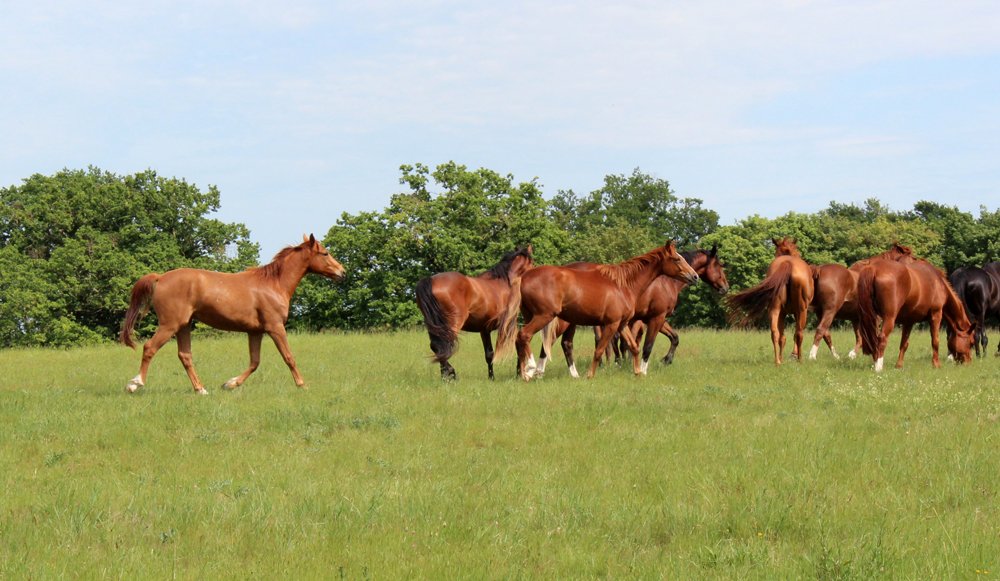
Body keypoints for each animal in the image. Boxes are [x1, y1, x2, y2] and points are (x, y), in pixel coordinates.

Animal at [120, 234, 346, 394]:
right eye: (325, 253)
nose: (342, 272)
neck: (274, 284)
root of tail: (160, 278)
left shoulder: (255, 332)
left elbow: (254, 362)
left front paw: (230, 383)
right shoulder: (275, 328)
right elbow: (289, 357)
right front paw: (302, 384)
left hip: (183, 326)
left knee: (185, 356)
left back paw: (201, 389)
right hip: (170, 325)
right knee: (149, 348)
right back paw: (135, 384)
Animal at [415, 246, 534, 380]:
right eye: (532, 263)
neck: (505, 282)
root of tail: (430, 280)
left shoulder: (485, 330)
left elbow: (489, 354)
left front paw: (491, 378)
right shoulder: (508, 326)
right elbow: (518, 345)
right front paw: (519, 373)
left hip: (434, 326)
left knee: (437, 346)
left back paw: (445, 377)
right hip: (452, 324)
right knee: (443, 347)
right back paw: (451, 373)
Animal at [516, 241, 699, 380]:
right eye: (676, 259)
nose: (695, 276)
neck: (623, 285)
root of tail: (524, 277)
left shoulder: (622, 324)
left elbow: (634, 347)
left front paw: (638, 372)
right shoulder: (612, 324)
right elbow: (599, 350)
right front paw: (590, 375)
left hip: (534, 316)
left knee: (525, 339)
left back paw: (524, 374)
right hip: (545, 317)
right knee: (525, 336)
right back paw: (531, 369)